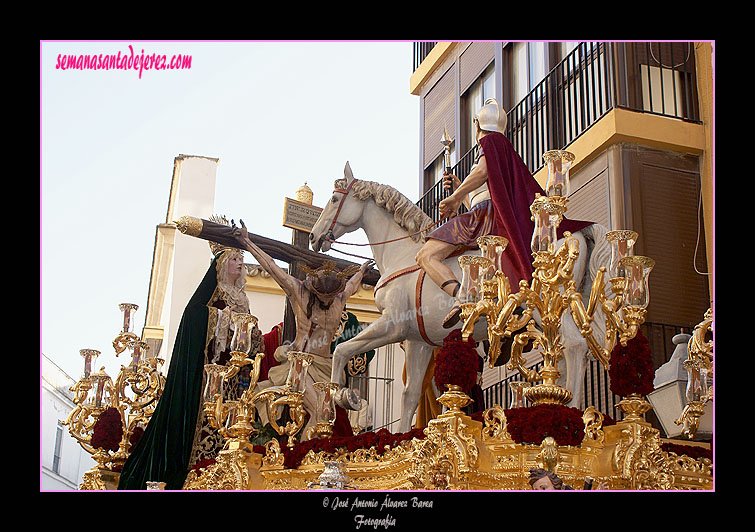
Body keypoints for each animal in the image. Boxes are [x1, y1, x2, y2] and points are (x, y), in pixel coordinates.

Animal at [310, 162, 612, 432]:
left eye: (334, 198)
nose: (314, 237)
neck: (403, 255)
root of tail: (577, 232)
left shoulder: (392, 325)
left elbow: (341, 350)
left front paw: (340, 398)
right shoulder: (417, 340)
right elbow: (410, 396)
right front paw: (401, 438)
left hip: (548, 306)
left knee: (575, 347)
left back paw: (569, 413)